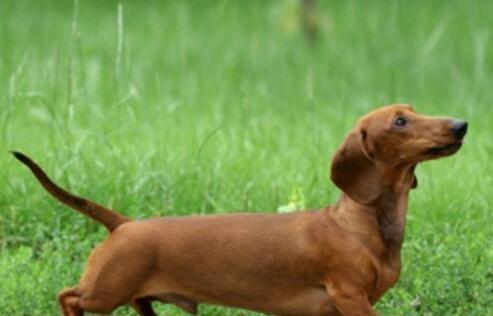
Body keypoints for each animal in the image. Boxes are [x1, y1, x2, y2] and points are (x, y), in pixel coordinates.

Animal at [11, 103, 466, 314]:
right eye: (399, 122)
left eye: (414, 110)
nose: (461, 124)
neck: (363, 223)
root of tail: (123, 225)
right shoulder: (351, 296)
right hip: (105, 291)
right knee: (68, 297)